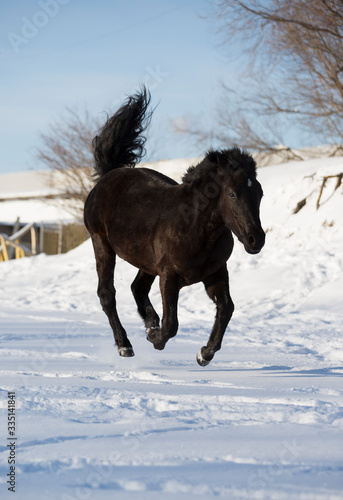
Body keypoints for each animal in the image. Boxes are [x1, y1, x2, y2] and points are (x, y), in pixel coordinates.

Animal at [84, 87, 266, 368]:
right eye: (233, 194)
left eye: (260, 193)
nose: (256, 239)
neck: (197, 229)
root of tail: (108, 176)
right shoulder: (169, 276)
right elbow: (171, 324)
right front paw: (155, 338)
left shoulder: (215, 273)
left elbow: (226, 309)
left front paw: (204, 354)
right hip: (101, 243)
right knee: (107, 294)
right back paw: (125, 345)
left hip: (146, 261)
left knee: (137, 288)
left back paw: (149, 323)